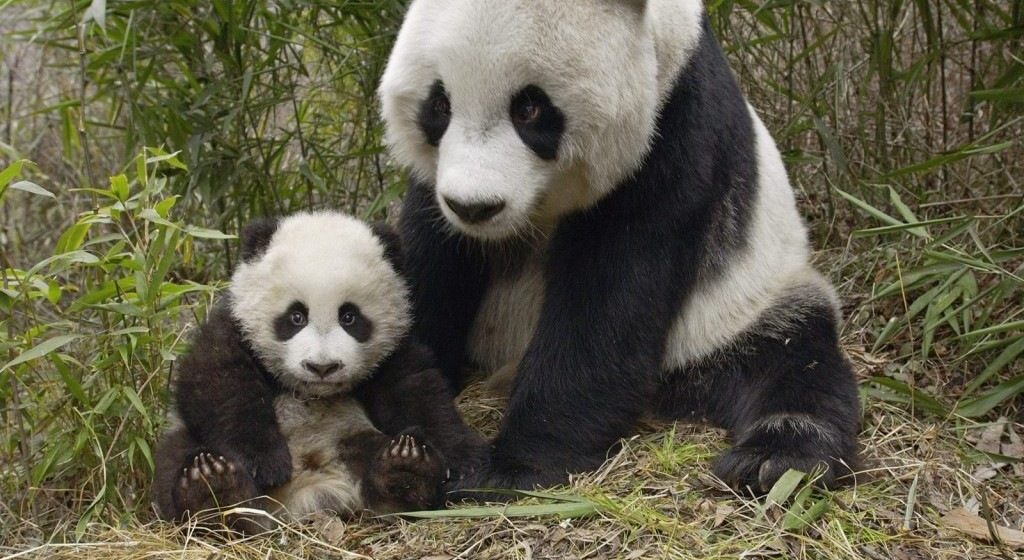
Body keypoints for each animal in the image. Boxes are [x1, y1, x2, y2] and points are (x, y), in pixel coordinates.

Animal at [153, 211, 486, 531]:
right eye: (296, 316)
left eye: (349, 316)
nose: (322, 367)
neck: (311, 393)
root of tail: (307, 494)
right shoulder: (233, 326)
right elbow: (217, 383)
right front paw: (265, 463)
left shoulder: (394, 350)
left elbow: (417, 392)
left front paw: (464, 459)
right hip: (187, 444)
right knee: (176, 458)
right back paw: (213, 491)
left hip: (350, 436)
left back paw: (406, 471)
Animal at [378, 0, 860, 495]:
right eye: (439, 105)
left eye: (529, 108)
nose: (474, 207)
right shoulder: (435, 190)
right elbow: (429, 262)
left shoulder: (673, 131)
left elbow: (609, 300)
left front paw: (510, 467)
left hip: (742, 306)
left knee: (793, 358)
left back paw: (773, 459)